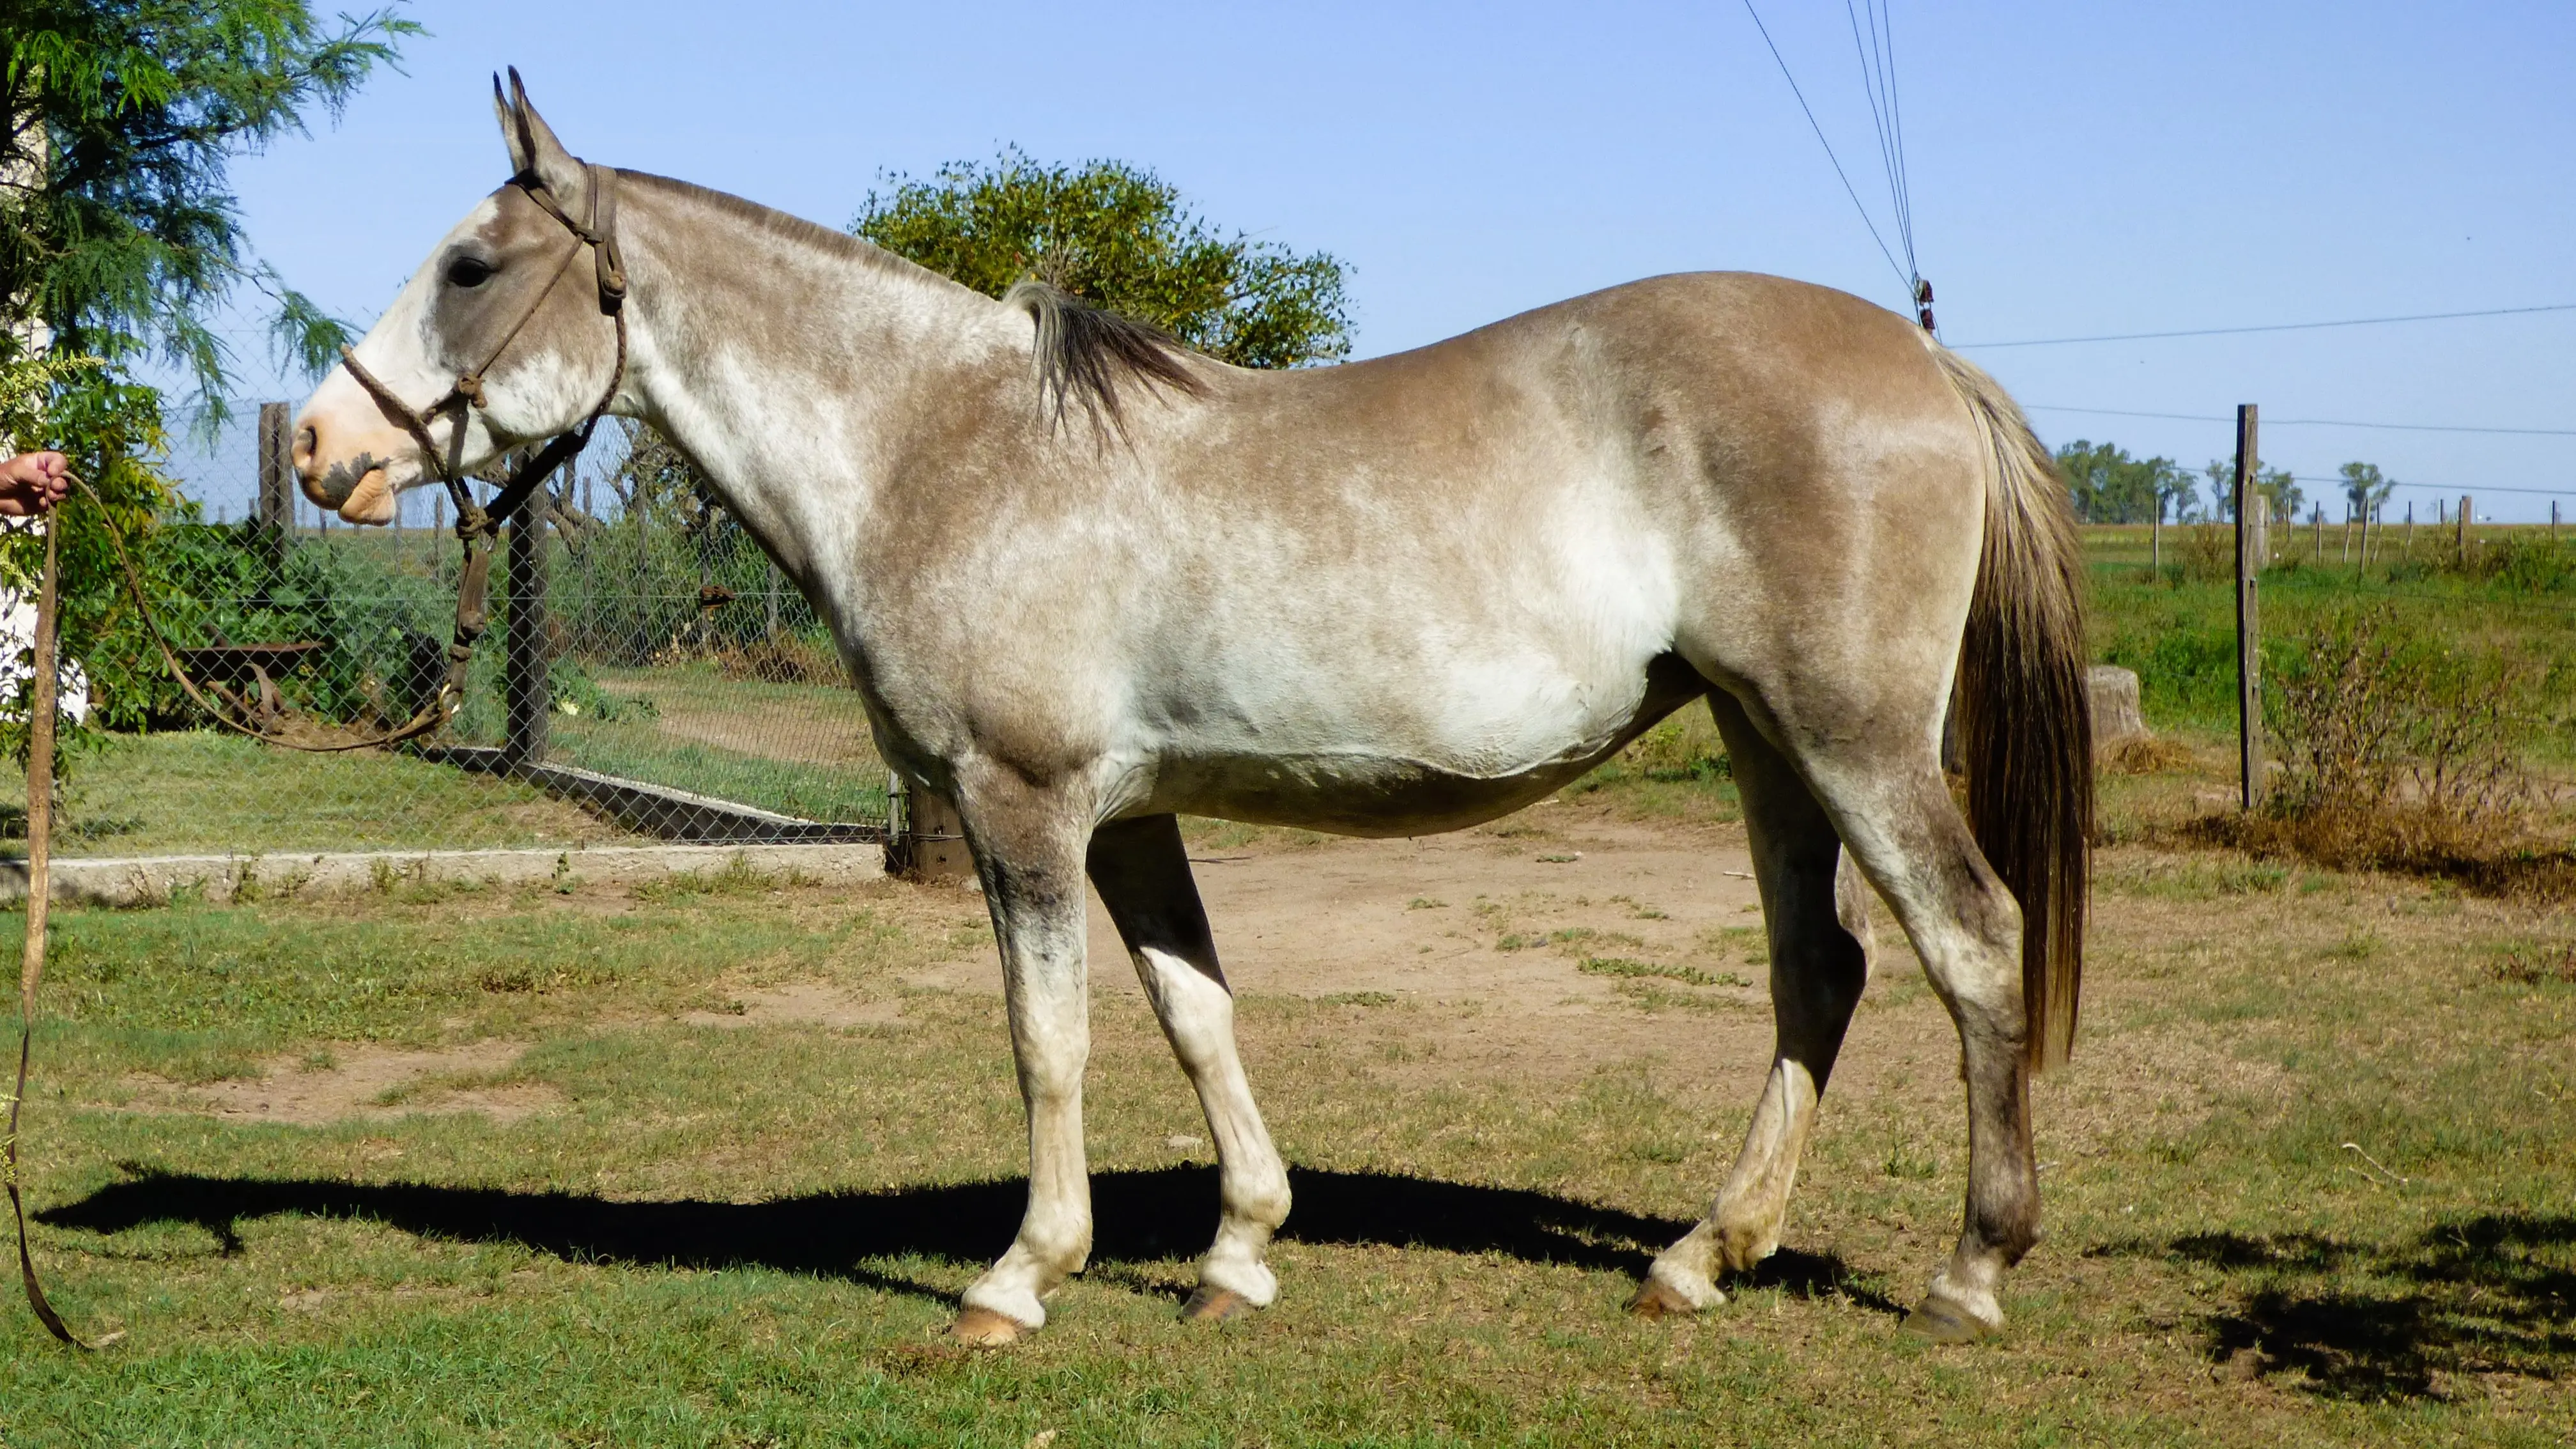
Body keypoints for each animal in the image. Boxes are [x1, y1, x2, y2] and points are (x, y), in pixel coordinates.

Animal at [294, 73, 2090, 1347]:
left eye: (470, 264)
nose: (323, 448)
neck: (944, 442)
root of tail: (1923, 365)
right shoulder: (1127, 813)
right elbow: (1192, 1010)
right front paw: (1237, 1247)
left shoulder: (1021, 803)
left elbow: (1051, 1036)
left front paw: (1017, 1275)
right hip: (1756, 735)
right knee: (1820, 967)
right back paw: (1698, 1254)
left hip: (1847, 737)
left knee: (1971, 940)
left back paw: (1967, 1268)